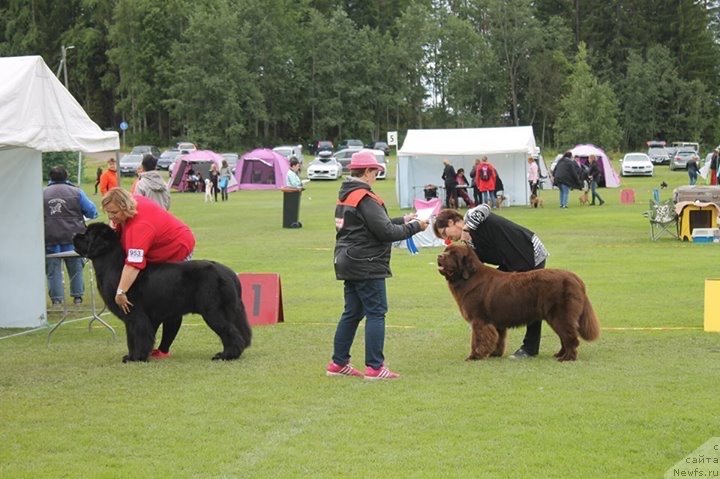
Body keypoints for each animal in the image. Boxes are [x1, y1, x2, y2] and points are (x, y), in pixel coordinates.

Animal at [74, 223, 252, 362]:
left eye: (87, 234)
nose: (75, 234)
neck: (112, 265)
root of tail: (228, 273)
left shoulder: (136, 315)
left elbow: (138, 336)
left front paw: (136, 358)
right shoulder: (131, 319)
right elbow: (131, 338)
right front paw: (131, 356)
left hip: (212, 311)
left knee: (230, 332)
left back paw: (226, 355)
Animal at [436, 246, 600, 362]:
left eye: (453, 254)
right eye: (445, 251)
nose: (439, 256)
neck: (468, 277)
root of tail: (575, 278)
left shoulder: (479, 320)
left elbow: (478, 339)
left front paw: (474, 356)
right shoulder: (495, 322)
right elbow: (499, 338)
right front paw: (495, 353)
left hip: (560, 315)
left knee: (570, 338)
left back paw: (567, 358)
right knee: (565, 337)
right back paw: (560, 354)